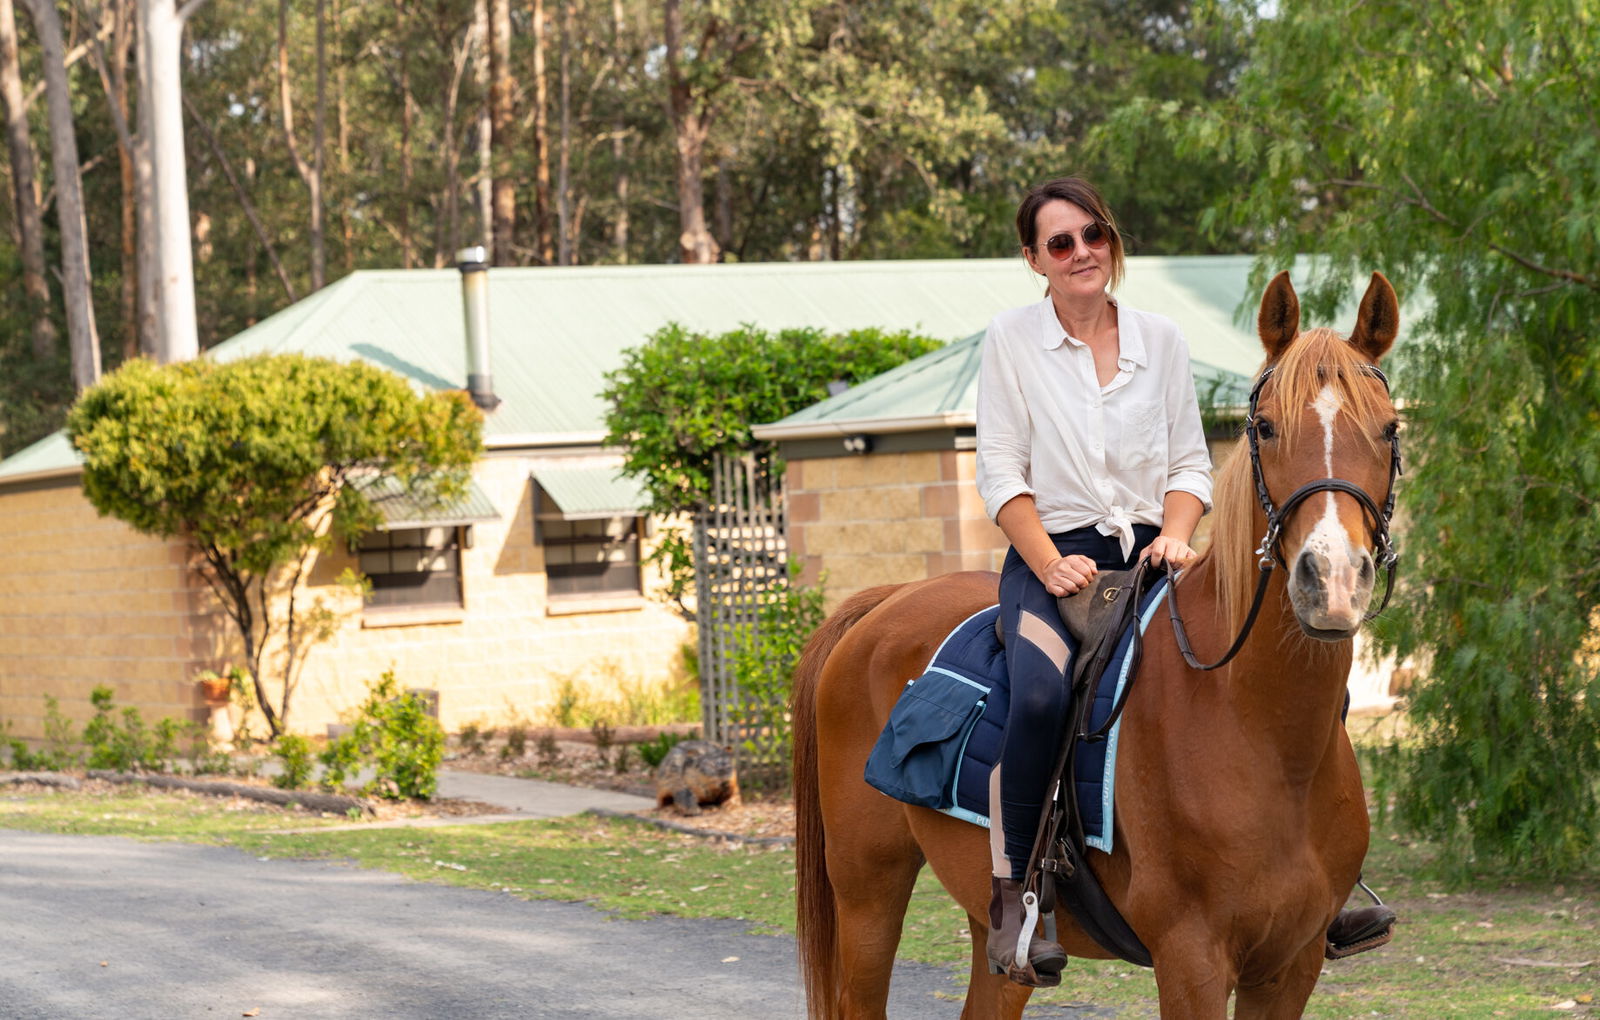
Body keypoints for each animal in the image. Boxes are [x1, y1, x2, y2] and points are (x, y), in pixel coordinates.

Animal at [791, 270, 1403, 1019]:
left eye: (1390, 427)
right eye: (1264, 427)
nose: (1332, 579)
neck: (1258, 727)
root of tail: (888, 599)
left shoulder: (1292, 963)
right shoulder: (1191, 958)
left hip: (995, 945)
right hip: (867, 894)